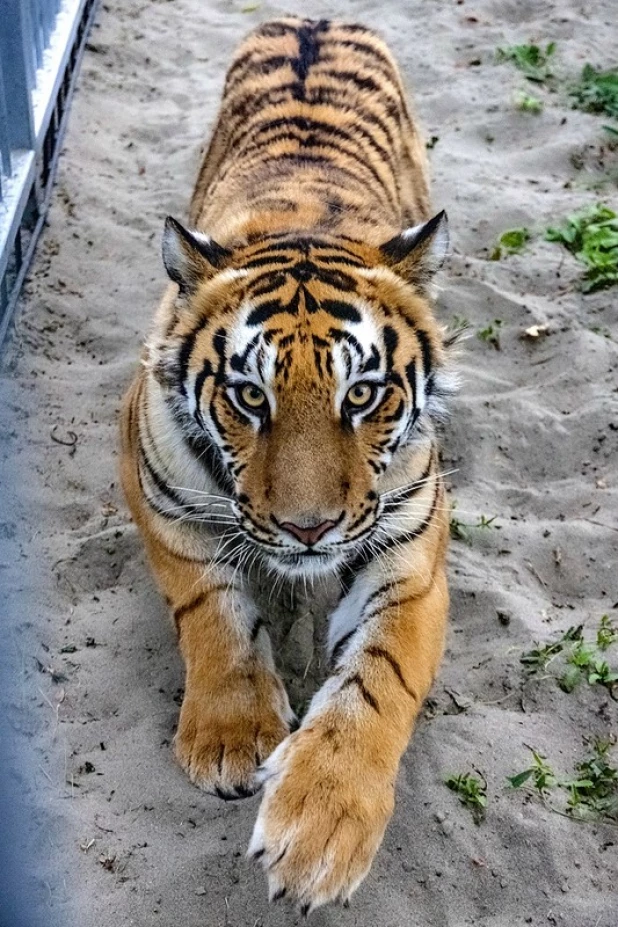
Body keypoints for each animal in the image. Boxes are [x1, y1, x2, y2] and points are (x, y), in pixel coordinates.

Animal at [121, 14, 452, 912]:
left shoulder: (412, 552)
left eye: (363, 393)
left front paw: (319, 827)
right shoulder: (157, 489)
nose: (309, 531)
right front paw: (233, 738)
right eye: (249, 395)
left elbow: (380, 675)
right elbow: (212, 611)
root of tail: (315, 17)